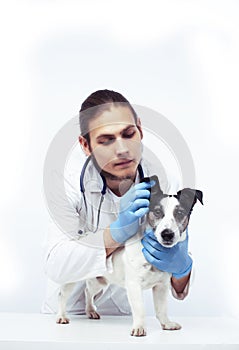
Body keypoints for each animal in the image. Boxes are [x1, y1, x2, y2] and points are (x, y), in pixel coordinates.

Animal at [56, 175, 204, 336]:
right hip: (72, 277)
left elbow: (162, 309)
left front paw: (166, 323)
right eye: (158, 212)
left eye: (180, 213)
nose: (167, 234)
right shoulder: (134, 285)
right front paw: (139, 327)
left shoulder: (161, 287)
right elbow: (139, 309)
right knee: (63, 295)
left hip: (99, 281)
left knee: (88, 291)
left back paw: (90, 310)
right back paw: (62, 316)